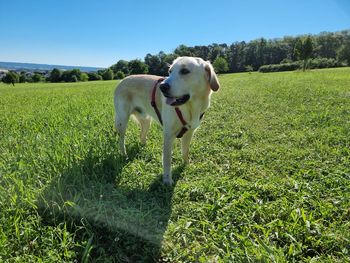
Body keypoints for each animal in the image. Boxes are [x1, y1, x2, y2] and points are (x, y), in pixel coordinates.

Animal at [114, 56, 219, 186]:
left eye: (185, 71)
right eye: (170, 71)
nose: (162, 87)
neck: (191, 107)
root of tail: (122, 80)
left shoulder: (189, 133)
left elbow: (185, 151)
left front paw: (186, 165)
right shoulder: (168, 135)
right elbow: (167, 160)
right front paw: (167, 180)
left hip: (146, 121)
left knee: (141, 136)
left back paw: (145, 147)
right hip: (122, 121)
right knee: (121, 140)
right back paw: (124, 155)